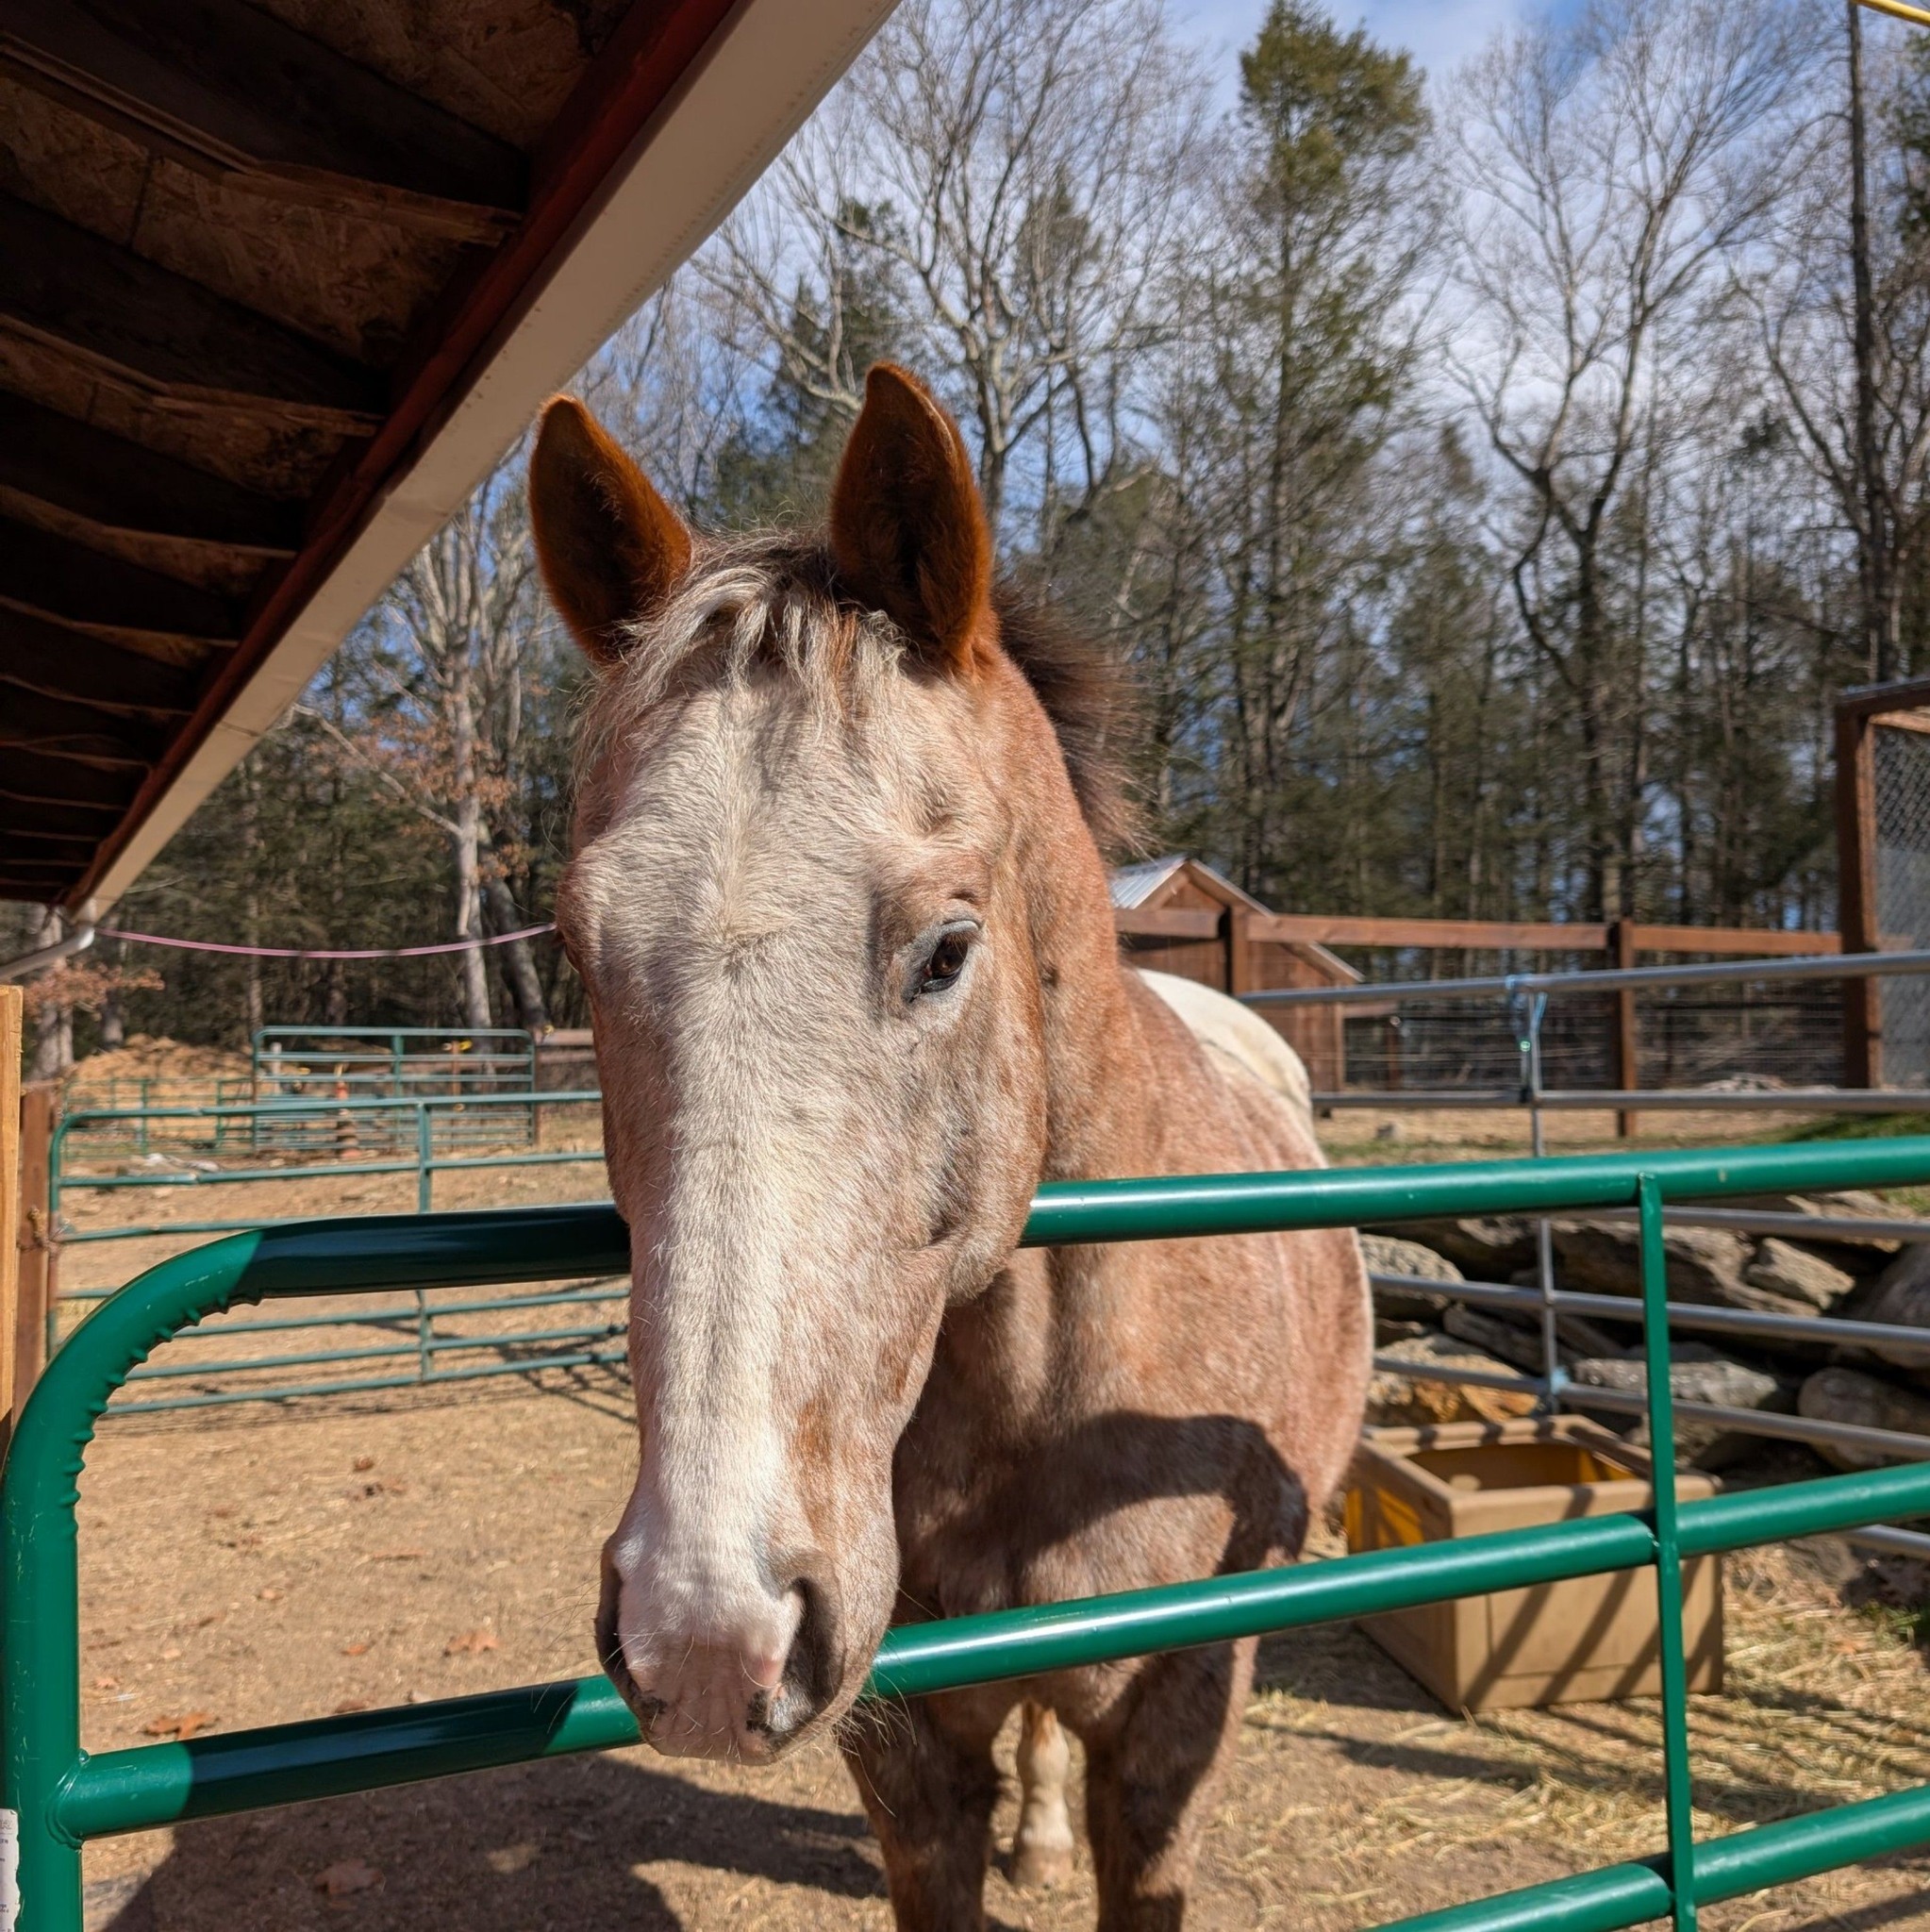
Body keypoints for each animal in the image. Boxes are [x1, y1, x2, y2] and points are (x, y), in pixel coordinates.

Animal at [527, 362, 1371, 1929]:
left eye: (945, 950)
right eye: (579, 956)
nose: (707, 1630)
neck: (1071, 1397)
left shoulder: (1175, 1737)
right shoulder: (907, 1762)